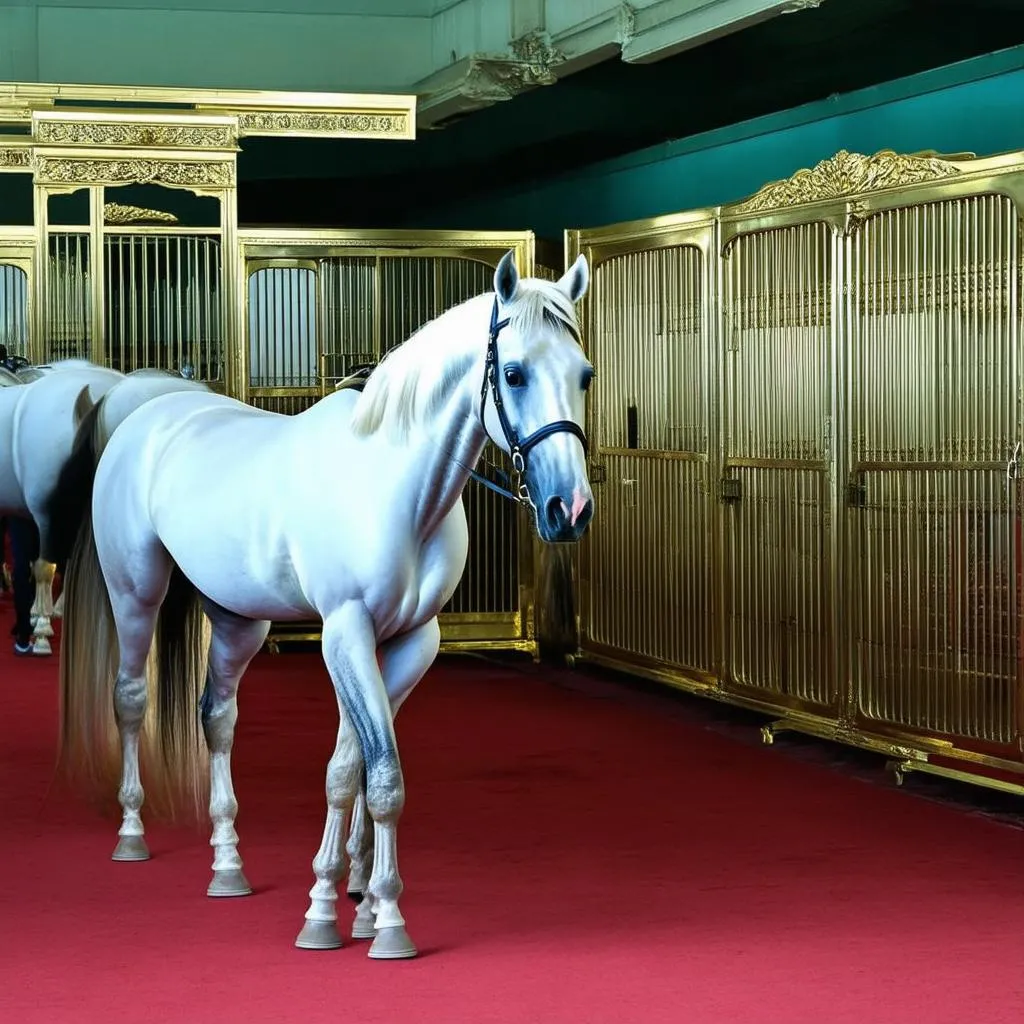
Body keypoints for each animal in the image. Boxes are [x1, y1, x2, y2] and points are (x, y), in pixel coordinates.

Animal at [56, 249, 598, 958]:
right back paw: (131, 834)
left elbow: (355, 767)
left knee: (217, 719)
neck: (395, 486)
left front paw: (358, 899)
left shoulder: (409, 641)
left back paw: (228, 866)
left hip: (238, 620)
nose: (570, 509)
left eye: (584, 374)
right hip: (136, 593)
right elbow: (380, 774)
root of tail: (148, 411)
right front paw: (367, 918)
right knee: (129, 700)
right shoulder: (346, 631)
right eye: (513, 372)